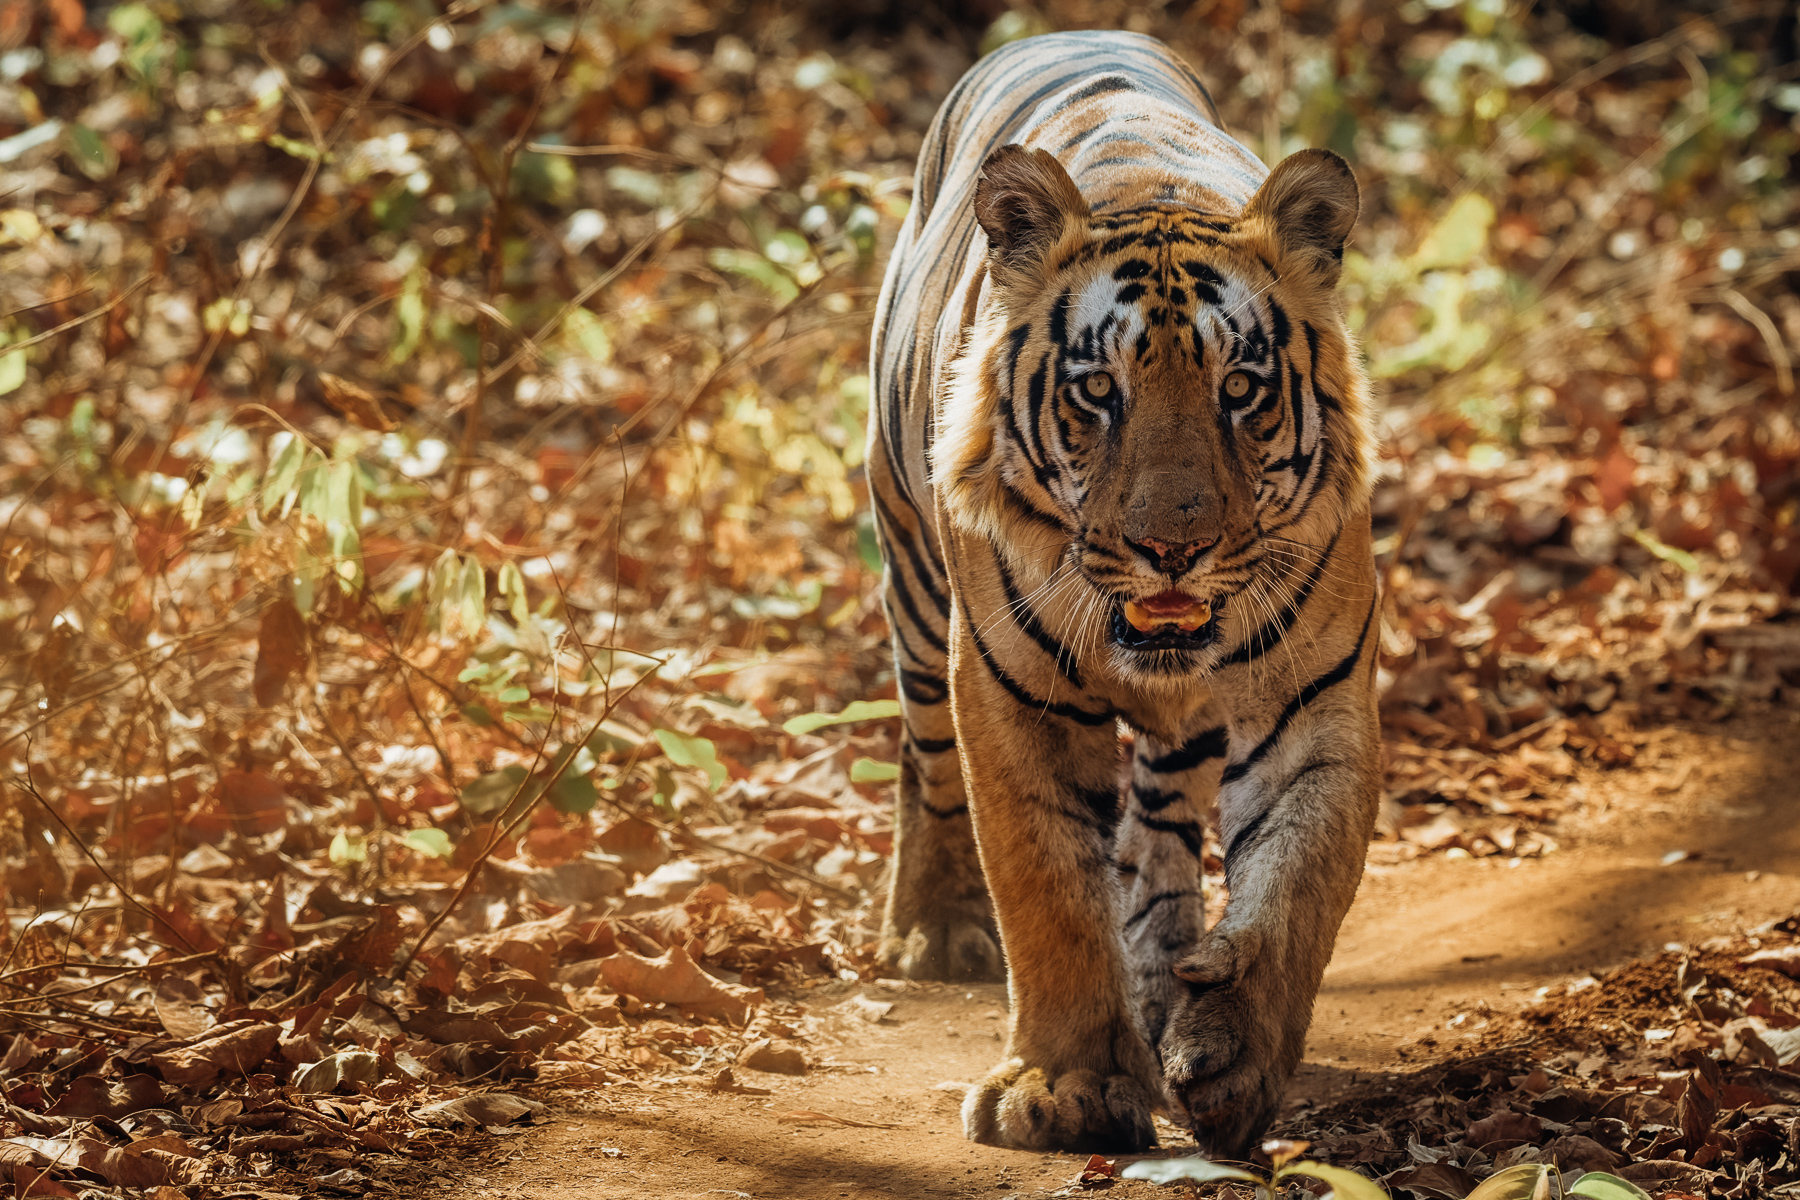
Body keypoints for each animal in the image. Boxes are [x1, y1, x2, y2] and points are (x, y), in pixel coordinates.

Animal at [865, 31, 1381, 1155]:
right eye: (1099, 391)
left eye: (1241, 391)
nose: (1170, 549)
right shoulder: (1008, 695)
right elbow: (1049, 888)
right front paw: (1061, 1089)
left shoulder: (1314, 702)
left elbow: (1298, 886)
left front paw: (1230, 1051)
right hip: (917, 600)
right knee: (926, 769)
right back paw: (932, 929)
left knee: (1157, 839)